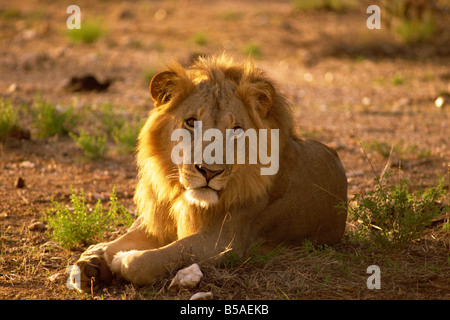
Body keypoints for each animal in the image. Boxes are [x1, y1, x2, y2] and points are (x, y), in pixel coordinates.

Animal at [71, 53, 348, 292]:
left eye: (236, 130)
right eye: (191, 122)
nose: (209, 172)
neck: (182, 196)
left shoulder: (223, 243)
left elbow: (151, 260)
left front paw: (120, 261)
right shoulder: (160, 220)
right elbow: (126, 238)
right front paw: (91, 262)